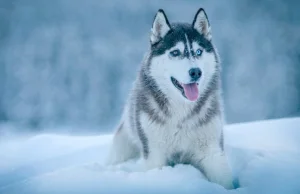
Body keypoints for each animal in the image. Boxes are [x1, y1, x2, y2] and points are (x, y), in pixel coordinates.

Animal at [108, 8, 234, 189]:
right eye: (175, 52)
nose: (196, 72)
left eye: (198, 52)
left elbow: (225, 181)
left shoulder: (212, 151)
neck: (181, 112)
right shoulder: (154, 155)